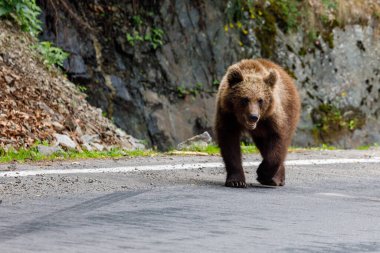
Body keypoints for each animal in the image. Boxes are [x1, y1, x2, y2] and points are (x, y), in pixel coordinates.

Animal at [217, 58, 300, 187]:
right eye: (245, 99)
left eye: (260, 100)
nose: (253, 117)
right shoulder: (227, 115)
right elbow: (229, 142)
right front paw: (236, 181)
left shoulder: (273, 117)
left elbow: (278, 138)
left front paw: (262, 174)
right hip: (260, 131)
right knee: (264, 145)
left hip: (290, 109)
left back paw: (275, 179)